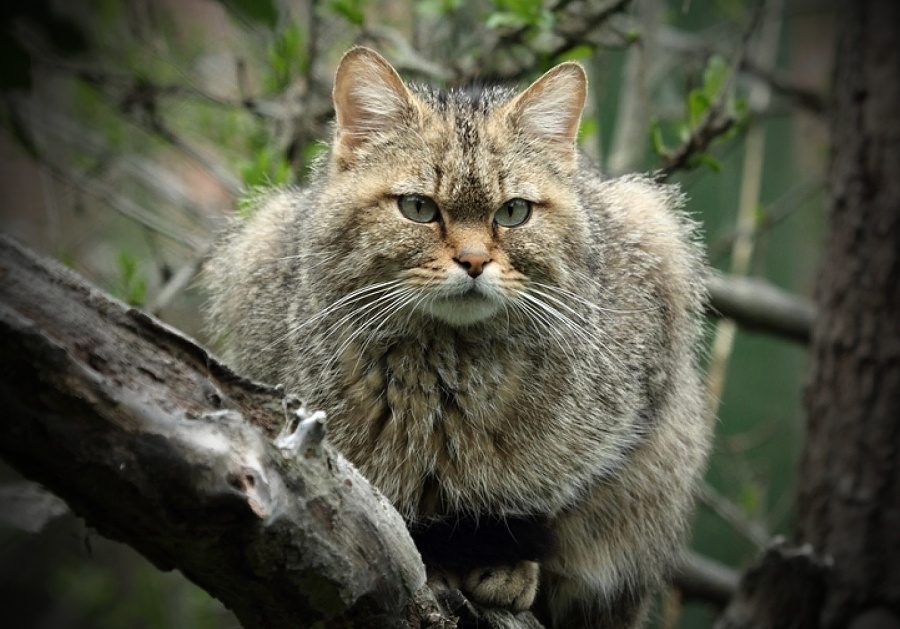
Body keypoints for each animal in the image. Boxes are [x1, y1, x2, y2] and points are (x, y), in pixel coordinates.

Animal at [206, 46, 712, 624]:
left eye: (513, 212)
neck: (448, 372)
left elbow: (550, 505)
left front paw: (507, 560)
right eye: (418, 208)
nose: (473, 261)